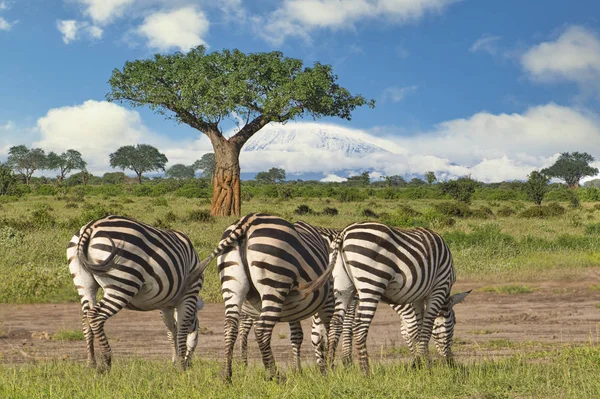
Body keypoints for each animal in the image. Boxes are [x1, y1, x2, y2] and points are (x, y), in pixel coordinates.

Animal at [67, 216, 205, 372]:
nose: (190, 364)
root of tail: (91, 227)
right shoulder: (188, 295)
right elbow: (182, 331)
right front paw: (181, 366)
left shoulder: (165, 306)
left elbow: (172, 331)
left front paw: (175, 362)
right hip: (123, 283)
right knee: (95, 316)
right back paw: (106, 363)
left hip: (84, 283)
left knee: (86, 318)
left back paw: (91, 363)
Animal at [197, 214, 338, 382]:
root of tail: (246, 222)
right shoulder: (328, 301)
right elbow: (328, 333)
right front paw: (328, 368)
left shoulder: (293, 308)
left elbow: (297, 336)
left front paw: (299, 371)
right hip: (275, 281)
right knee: (262, 330)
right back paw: (274, 375)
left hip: (231, 283)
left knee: (230, 326)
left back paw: (226, 376)